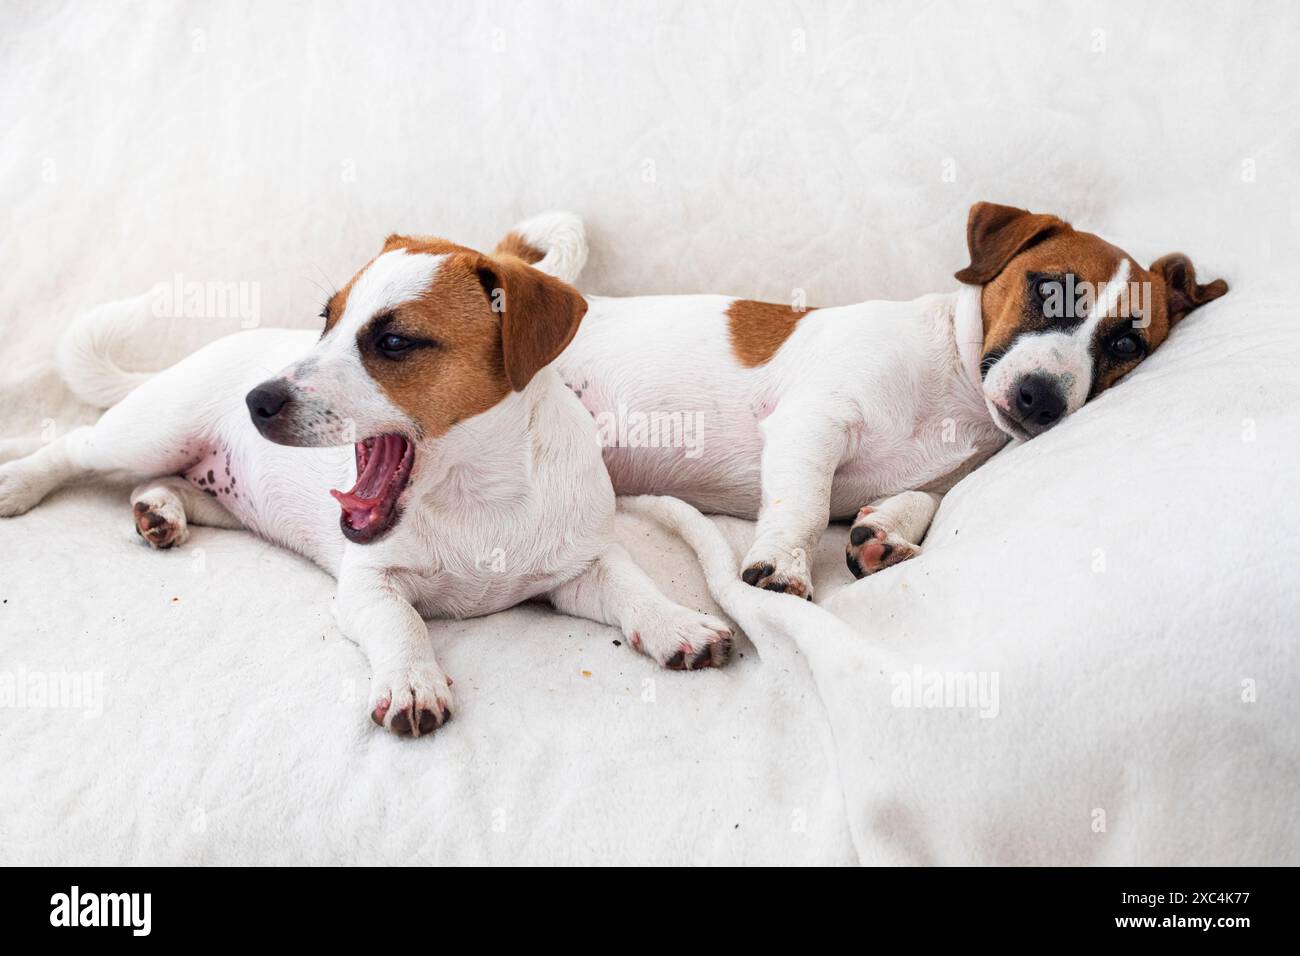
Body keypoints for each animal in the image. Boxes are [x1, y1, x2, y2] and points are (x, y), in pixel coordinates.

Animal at [0, 213, 733, 738]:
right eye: (325, 319)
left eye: (394, 341)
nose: (255, 400)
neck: (477, 495)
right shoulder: (368, 585)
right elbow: (402, 624)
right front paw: (411, 681)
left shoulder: (583, 564)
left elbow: (633, 587)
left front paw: (677, 624)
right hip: (148, 430)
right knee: (74, 446)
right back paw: (19, 482)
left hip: (211, 486)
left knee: (169, 484)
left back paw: (161, 510)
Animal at [540, 201, 1227, 598]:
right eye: (1046, 287)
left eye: (1127, 343)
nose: (1041, 401)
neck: (953, 387)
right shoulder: (812, 422)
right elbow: (806, 506)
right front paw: (783, 565)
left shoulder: (931, 482)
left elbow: (916, 502)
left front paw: (880, 534)